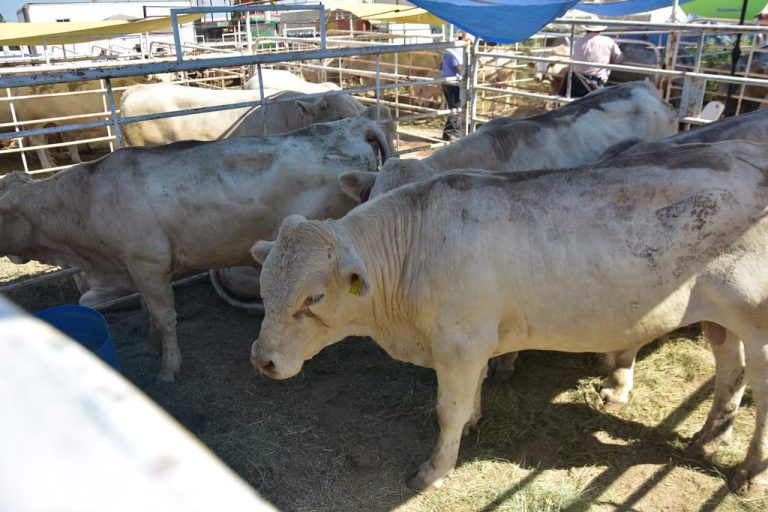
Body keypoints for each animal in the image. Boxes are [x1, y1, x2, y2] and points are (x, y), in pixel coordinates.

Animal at [1, 113, 390, 384]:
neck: (88, 199)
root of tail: (354, 124)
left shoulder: (148, 263)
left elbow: (165, 317)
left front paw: (167, 368)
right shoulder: (138, 268)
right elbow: (149, 312)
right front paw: (151, 346)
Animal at [249, 140, 768, 496]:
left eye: (313, 298)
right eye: (264, 286)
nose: (261, 359)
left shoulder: (459, 343)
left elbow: (447, 409)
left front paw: (434, 471)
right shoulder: (475, 342)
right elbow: (472, 394)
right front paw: (474, 421)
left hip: (759, 325)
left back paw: (748, 473)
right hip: (722, 320)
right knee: (730, 372)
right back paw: (707, 439)